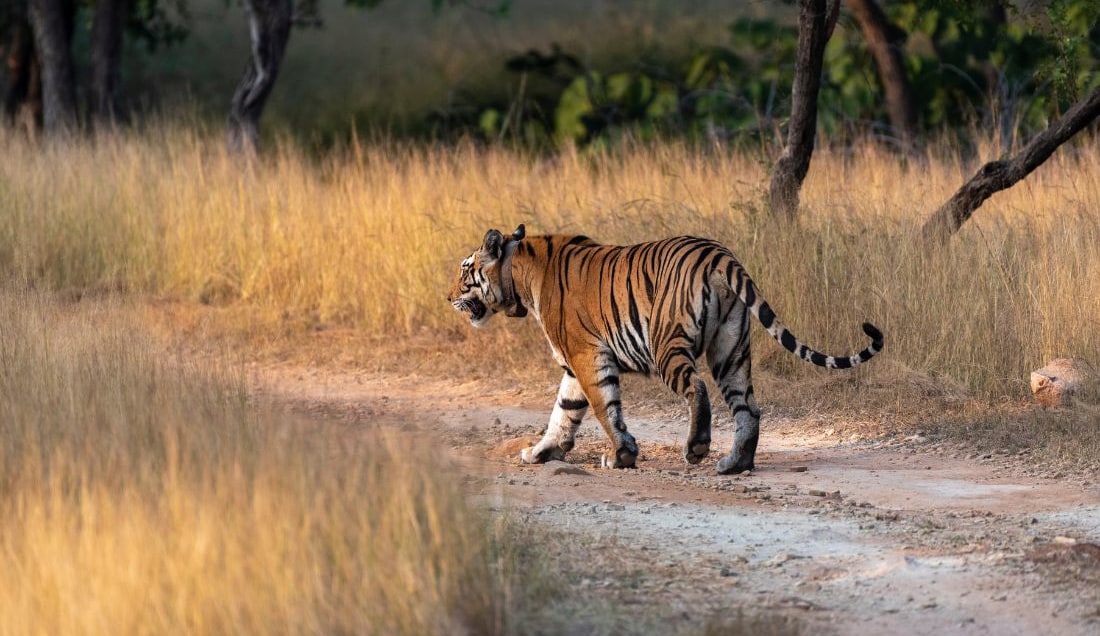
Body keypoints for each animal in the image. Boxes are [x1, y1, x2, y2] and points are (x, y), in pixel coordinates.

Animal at [448, 224, 883, 474]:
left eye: (465, 270)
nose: (448, 296)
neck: (520, 273)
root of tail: (721, 255)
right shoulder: (574, 366)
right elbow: (564, 412)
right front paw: (541, 453)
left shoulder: (587, 356)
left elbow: (604, 408)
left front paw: (620, 456)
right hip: (731, 349)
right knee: (748, 408)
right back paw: (734, 463)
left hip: (666, 344)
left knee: (698, 389)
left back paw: (697, 448)